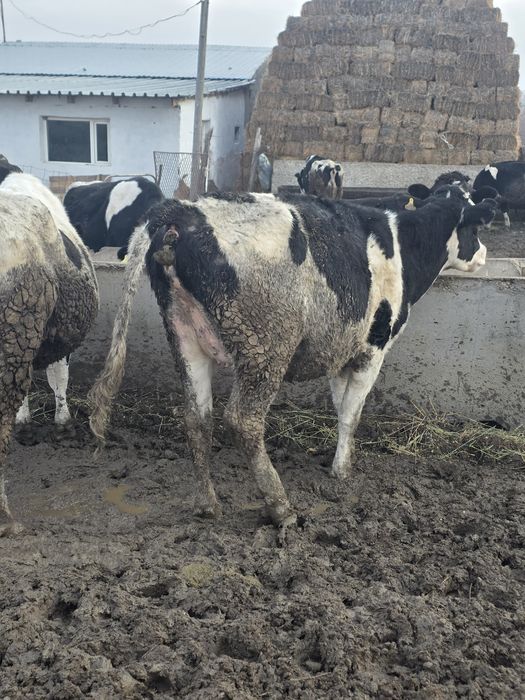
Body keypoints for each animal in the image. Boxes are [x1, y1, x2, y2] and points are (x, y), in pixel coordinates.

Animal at [88, 187, 495, 532]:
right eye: (476, 226)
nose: (484, 254)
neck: (403, 243)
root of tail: (180, 210)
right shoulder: (373, 347)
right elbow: (352, 413)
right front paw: (342, 471)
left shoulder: (339, 352)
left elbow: (339, 405)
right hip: (265, 348)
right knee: (243, 420)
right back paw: (280, 506)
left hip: (185, 337)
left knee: (196, 417)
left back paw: (208, 504)